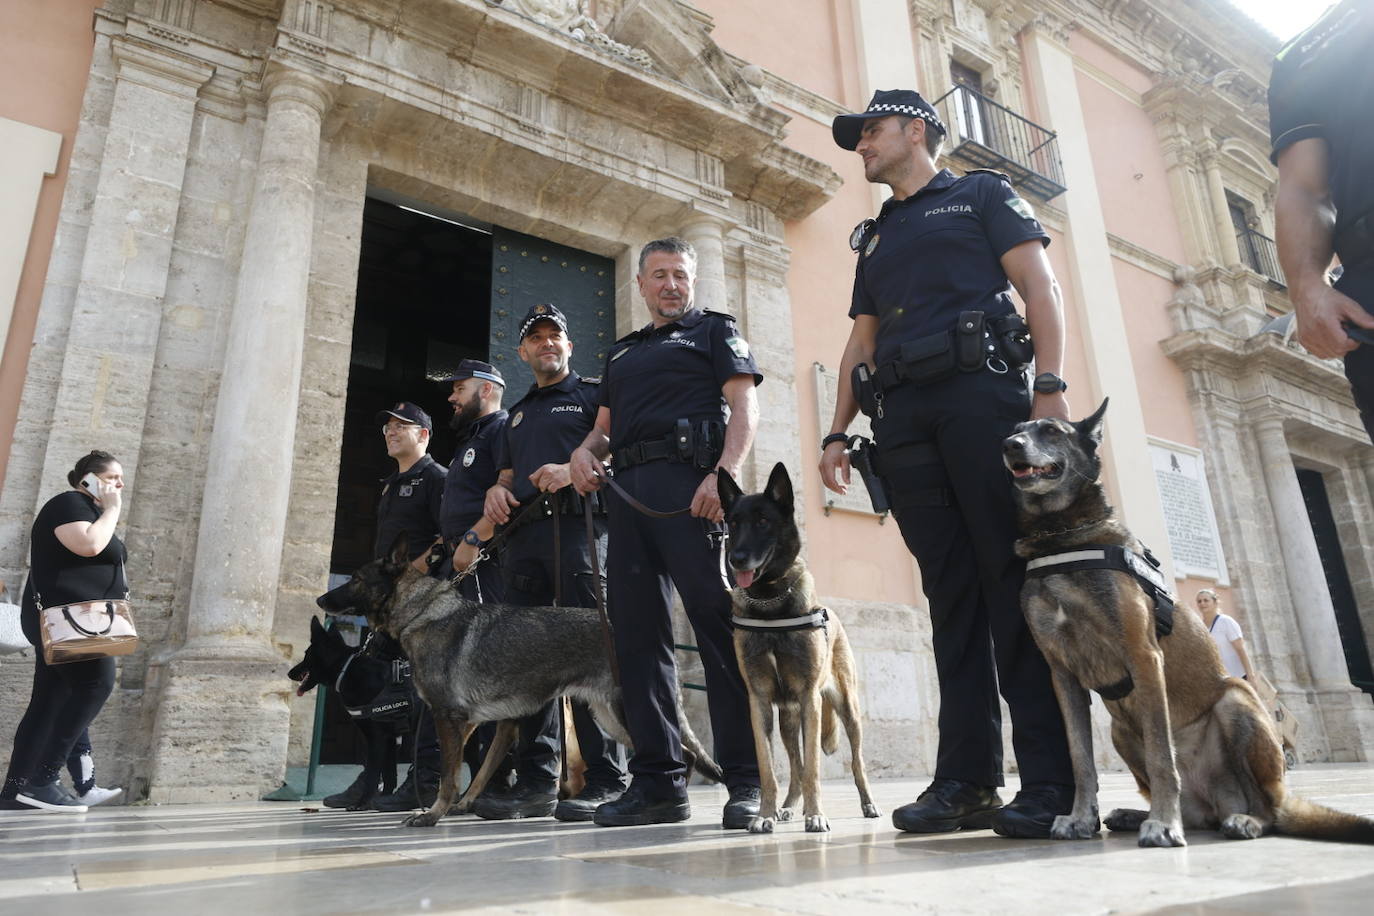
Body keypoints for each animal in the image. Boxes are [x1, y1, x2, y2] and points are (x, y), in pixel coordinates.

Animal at [316, 538, 725, 829]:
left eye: (355, 580)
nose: (320, 598)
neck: (422, 613)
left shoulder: (449, 719)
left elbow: (449, 776)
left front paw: (432, 815)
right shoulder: (474, 723)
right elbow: (479, 771)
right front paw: (462, 806)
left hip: (627, 714)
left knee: (683, 754)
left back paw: (672, 803)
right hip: (610, 718)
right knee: (683, 753)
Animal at [714, 461, 873, 834]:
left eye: (763, 521)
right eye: (734, 523)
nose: (736, 558)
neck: (770, 600)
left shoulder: (809, 700)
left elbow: (813, 767)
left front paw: (816, 814)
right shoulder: (759, 702)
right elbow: (769, 769)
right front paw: (764, 815)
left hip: (847, 710)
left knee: (855, 762)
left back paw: (868, 804)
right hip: (787, 719)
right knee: (795, 767)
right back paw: (787, 807)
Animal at [1000, 403, 1374, 851]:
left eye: (1052, 430)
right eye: (1017, 429)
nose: (1009, 445)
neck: (1062, 537)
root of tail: (1214, 803)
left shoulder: (1144, 657)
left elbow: (1163, 757)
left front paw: (1163, 824)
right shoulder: (1063, 677)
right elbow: (1081, 760)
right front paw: (1080, 818)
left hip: (1236, 701)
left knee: (1270, 809)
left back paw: (1240, 820)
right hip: (1121, 731)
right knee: (1201, 813)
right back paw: (1135, 814)